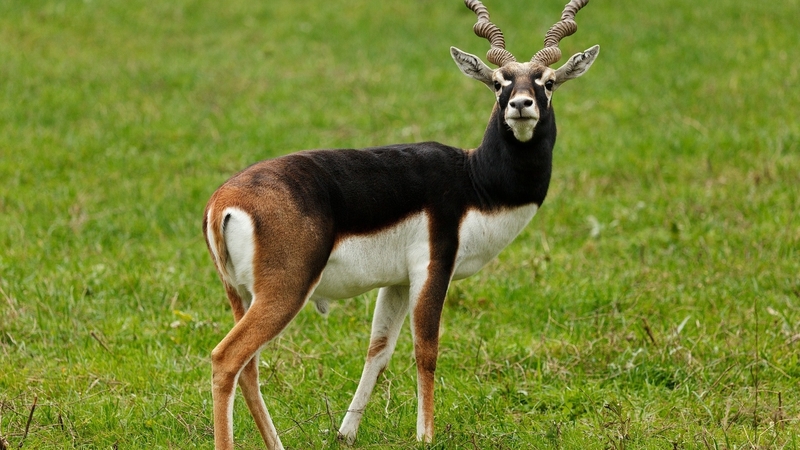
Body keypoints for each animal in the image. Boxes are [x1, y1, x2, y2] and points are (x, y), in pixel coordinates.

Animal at [202, 0, 599, 448]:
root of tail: (224, 202)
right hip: (284, 292)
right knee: (226, 358)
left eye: (548, 82)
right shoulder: (433, 267)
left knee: (248, 366)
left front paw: (346, 433)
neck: (475, 180)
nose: (521, 105)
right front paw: (425, 435)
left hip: (240, 295)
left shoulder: (396, 282)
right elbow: (426, 350)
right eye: (499, 83)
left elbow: (378, 350)